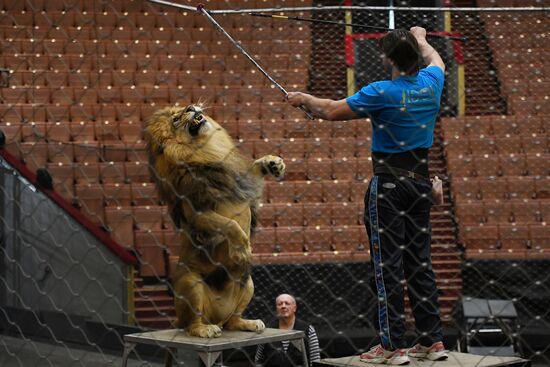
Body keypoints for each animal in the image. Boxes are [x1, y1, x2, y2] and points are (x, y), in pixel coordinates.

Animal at [144, 103, 286, 360]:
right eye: (176, 118)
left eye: (185, 106)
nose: (192, 107)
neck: (206, 149)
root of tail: (216, 318)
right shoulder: (197, 213)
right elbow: (231, 225)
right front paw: (241, 250)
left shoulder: (239, 182)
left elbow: (253, 170)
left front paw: (273, 163)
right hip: (192, 285)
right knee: (191, 324)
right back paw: (205, 329)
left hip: (248, 282)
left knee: (232, 321)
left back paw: (247, 323)